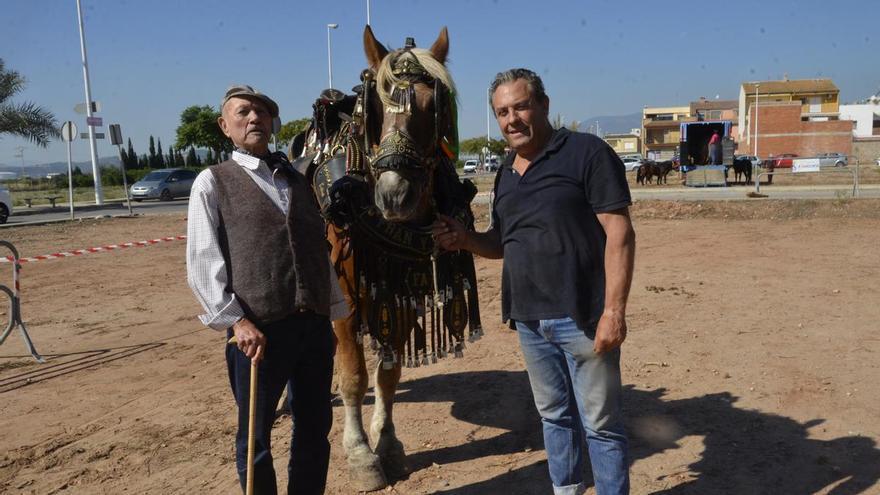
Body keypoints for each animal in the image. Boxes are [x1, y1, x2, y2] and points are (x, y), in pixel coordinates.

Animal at [288, 25, 482, 490]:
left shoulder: (402, 290)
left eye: (435, 106)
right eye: (375, 105)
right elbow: (355, 377)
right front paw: (361, 454)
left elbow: (388, 374)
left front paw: (389, 443)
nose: (395, 196)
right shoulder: (344, 294)